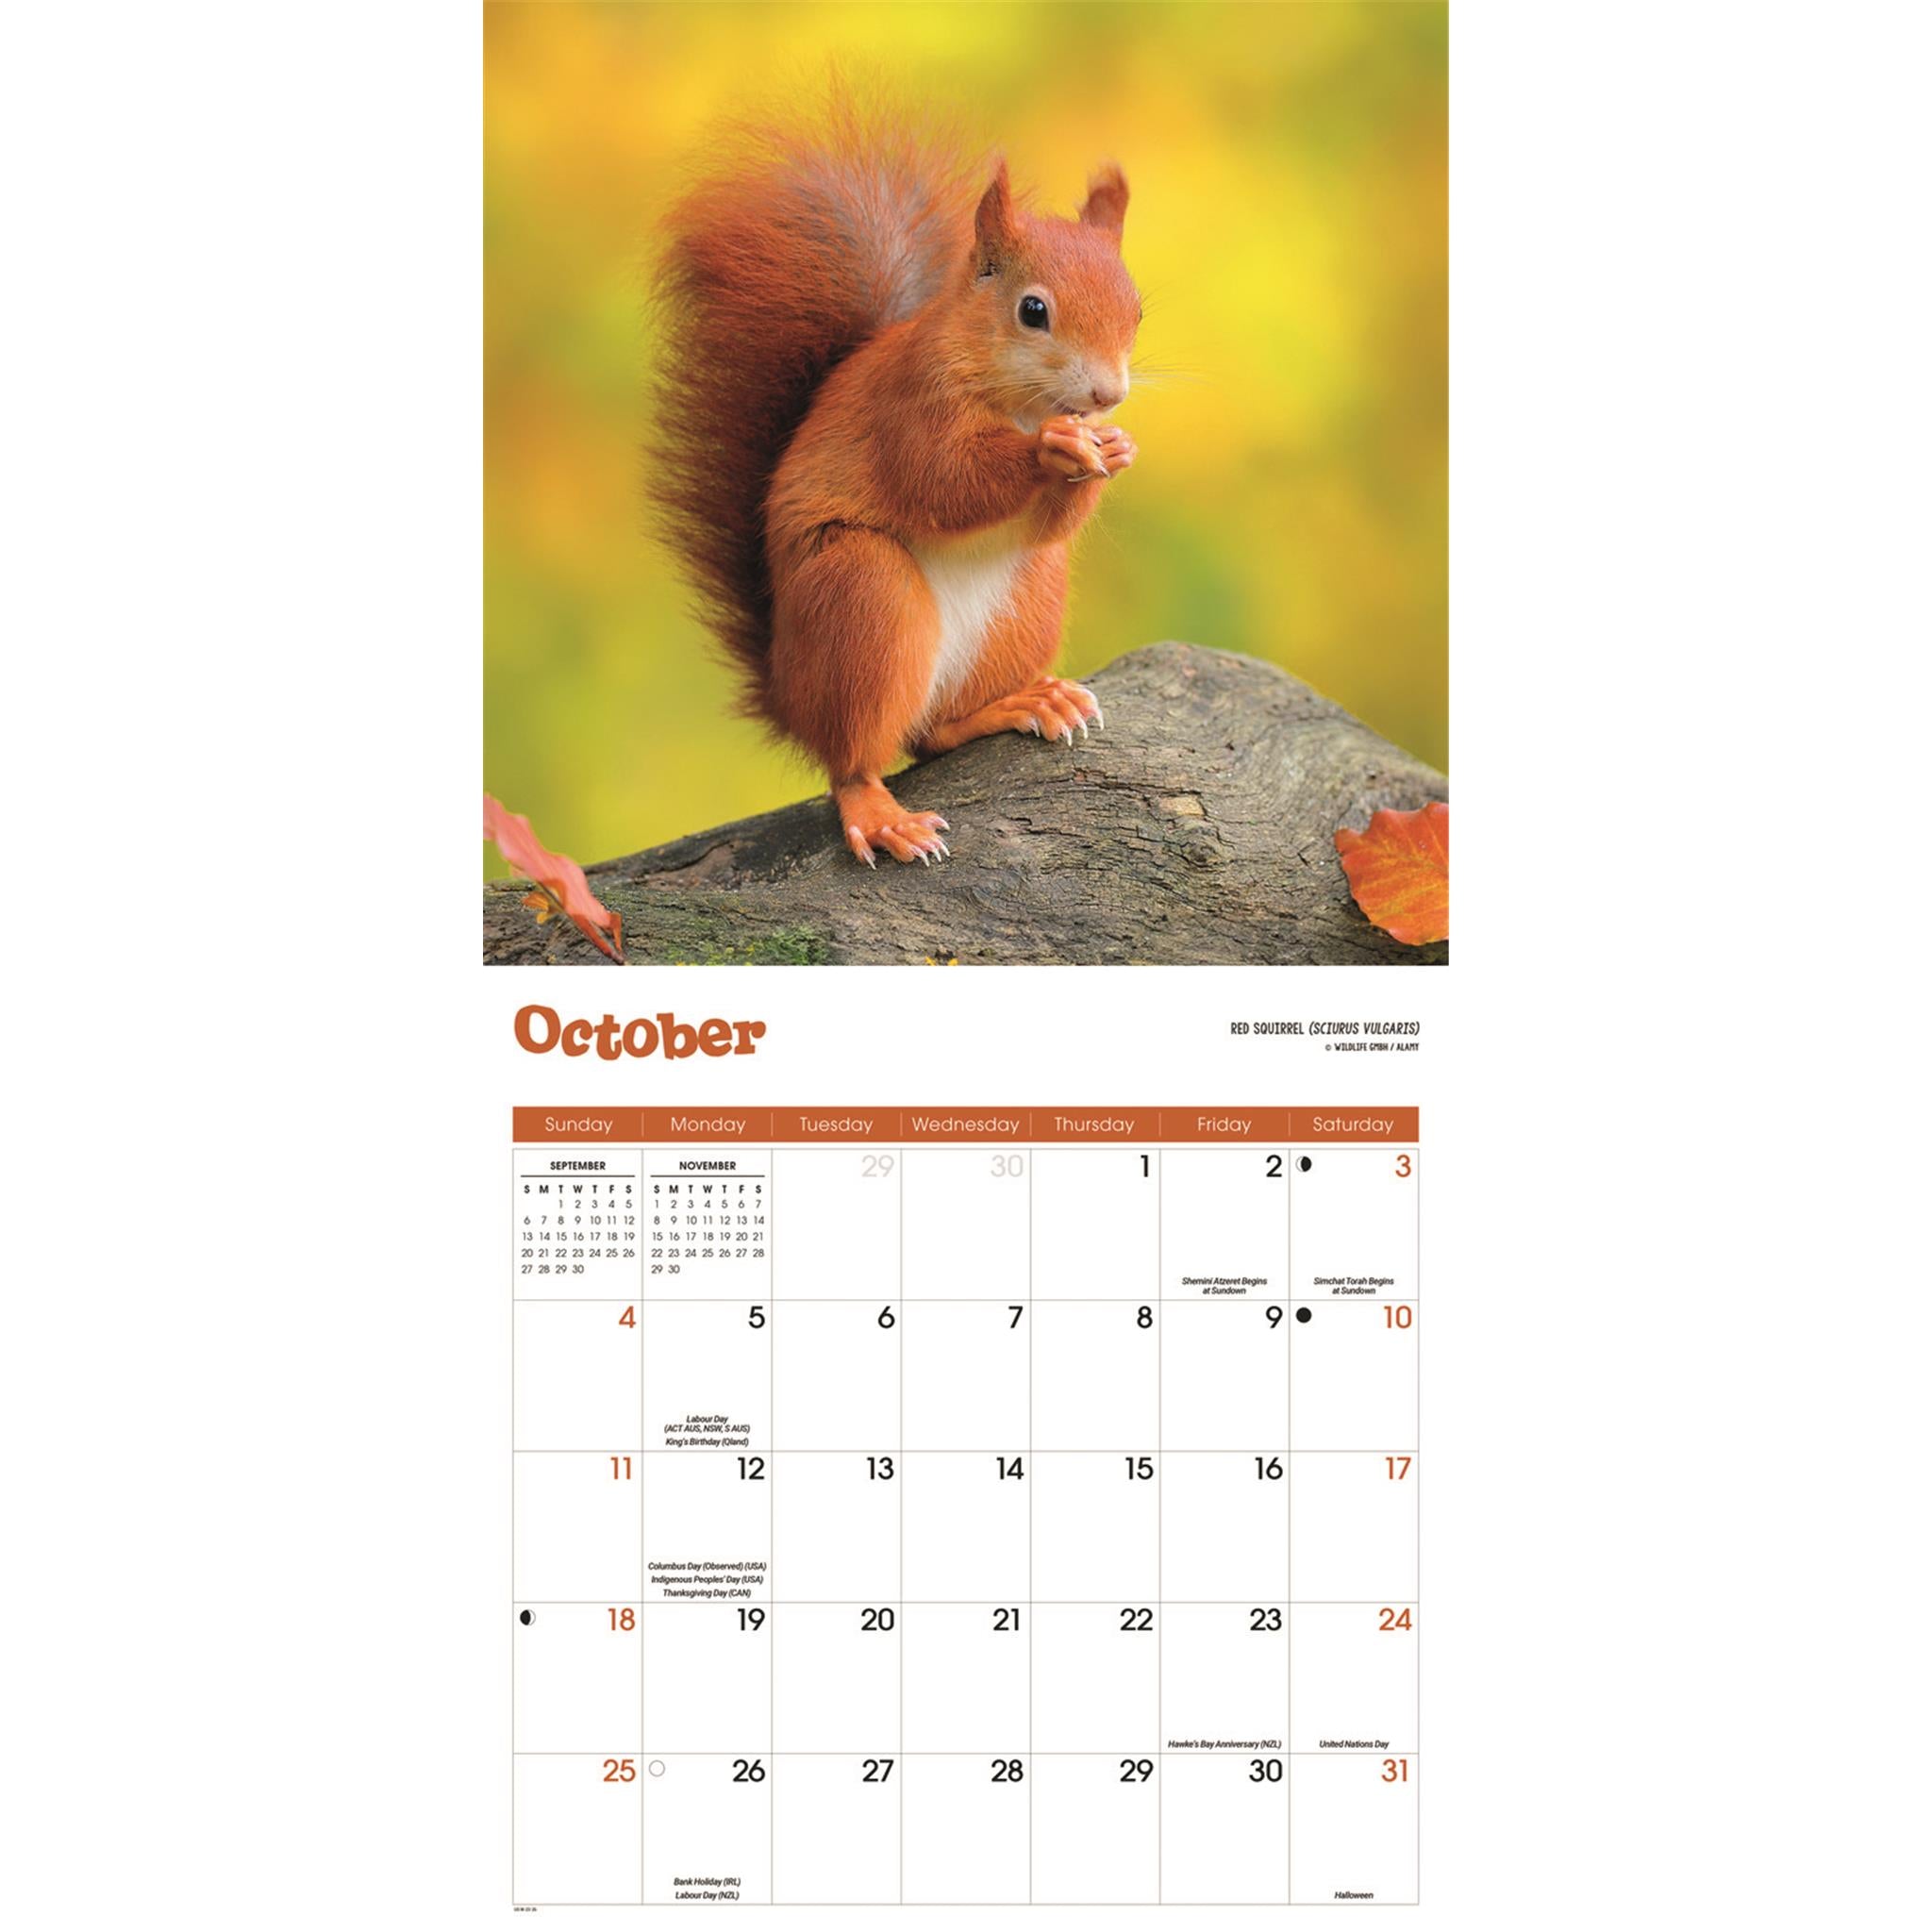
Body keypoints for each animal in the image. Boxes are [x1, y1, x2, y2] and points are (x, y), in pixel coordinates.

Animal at [649, 103, 1140, 866]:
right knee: (855, 761)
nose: (1107, 395)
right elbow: (946, 481)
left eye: (1138, 309)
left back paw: (1023, 703)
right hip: (861, 596)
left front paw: (1110, 449)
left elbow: (1047, 522)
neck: (1017, 401)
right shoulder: (908, 409)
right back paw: (881, 814)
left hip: (1027, 601)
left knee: (933, 733)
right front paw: (1051, 448)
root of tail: (790, 694)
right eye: (1033, 311)